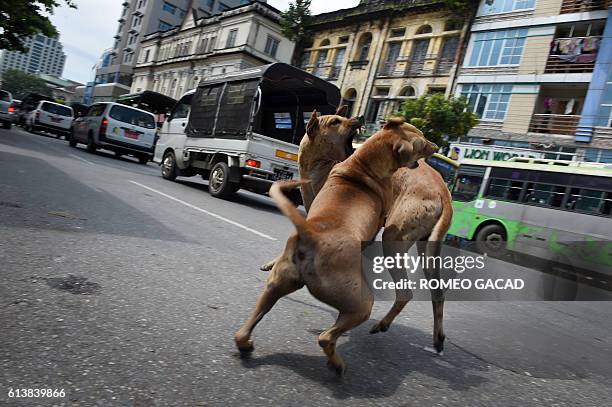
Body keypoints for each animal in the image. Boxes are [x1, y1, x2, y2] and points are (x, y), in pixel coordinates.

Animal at [235, 118, 440, 376]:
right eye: (421, 143)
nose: (437, 146)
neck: (362, 166)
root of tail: (312, 235)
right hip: (362, 302)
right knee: (326, 337)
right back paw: (338, 364)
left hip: (274, 288)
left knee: (243, 330)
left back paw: (246, 344)